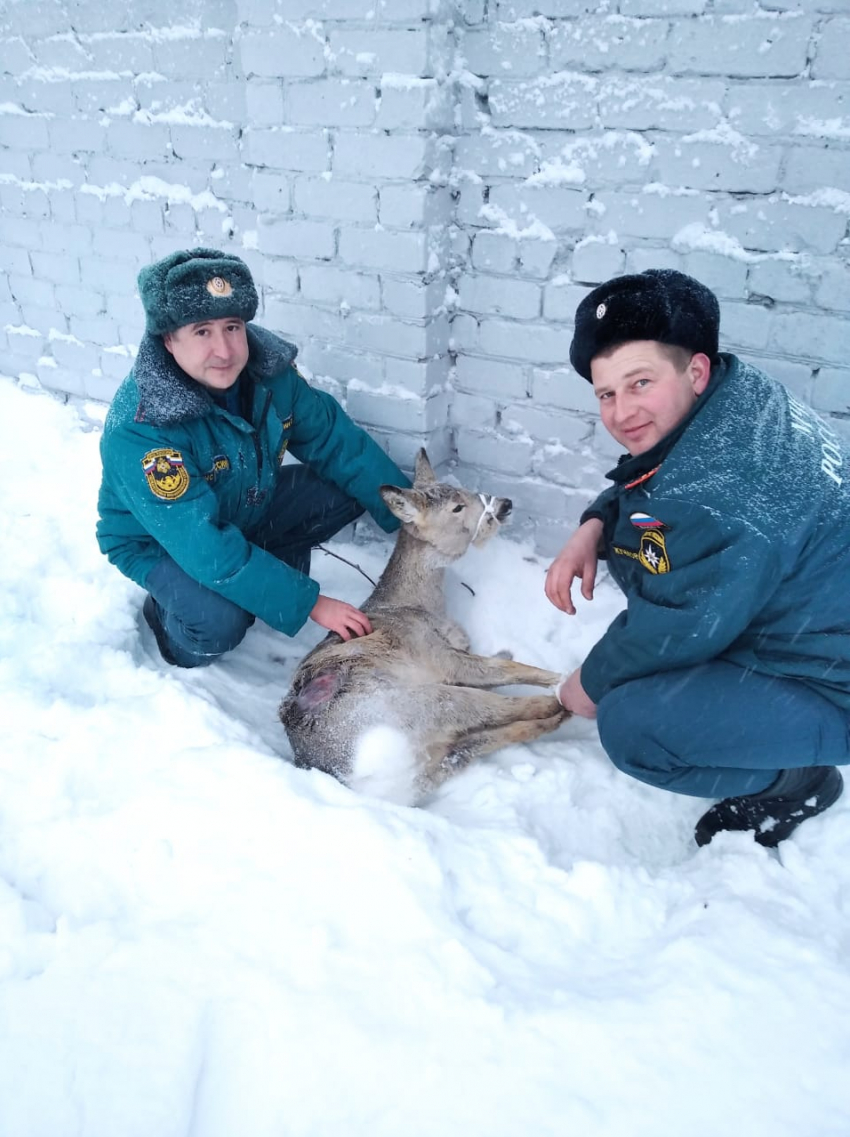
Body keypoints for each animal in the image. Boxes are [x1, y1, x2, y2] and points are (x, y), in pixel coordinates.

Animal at [280, 447, 570, 804]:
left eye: (468, 492)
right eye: (456, 507)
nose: (504, 504)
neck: (420, 606)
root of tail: (360, 775)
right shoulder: (437, 654)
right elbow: (503, 669)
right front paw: (556, 676)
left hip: (439, 759)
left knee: (488, 737)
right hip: (428, 702)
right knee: (507, 707)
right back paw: (567, 698)